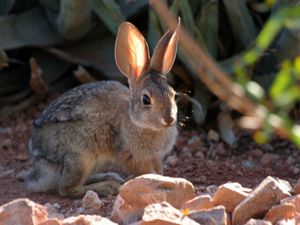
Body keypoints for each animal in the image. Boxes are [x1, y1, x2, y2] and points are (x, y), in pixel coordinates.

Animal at [25, 20, 179, 198]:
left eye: (173, 94)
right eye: (146, 100)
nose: (169, 119)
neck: (138, 122)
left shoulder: (156, 157)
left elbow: (158, 171)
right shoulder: (132, 156)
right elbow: (145, 172)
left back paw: (111, 177)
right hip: (80, 157)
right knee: (66, 188)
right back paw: (107, 186)